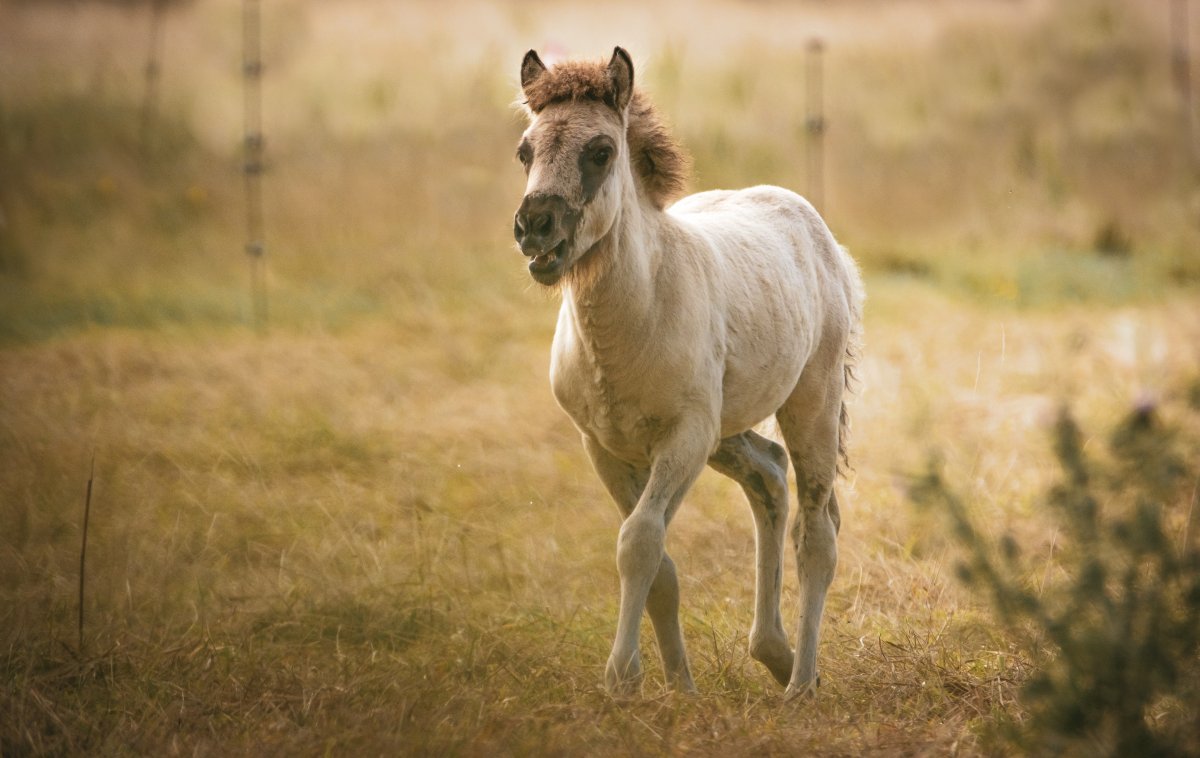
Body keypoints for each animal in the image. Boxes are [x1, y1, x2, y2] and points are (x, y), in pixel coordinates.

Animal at [513, 47, 864, 700]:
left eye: (601, 151)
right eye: (525, 151)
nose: (534, 226)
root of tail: (818, 232)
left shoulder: (684, 438)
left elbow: (639, 543)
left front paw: (621, 678)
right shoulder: (604, 447)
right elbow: (660, 563)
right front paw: (679, 687)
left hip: (810, 403)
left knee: (817, 534)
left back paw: (801, 684)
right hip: (727, 433)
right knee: (769, 477)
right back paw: (774, 653)